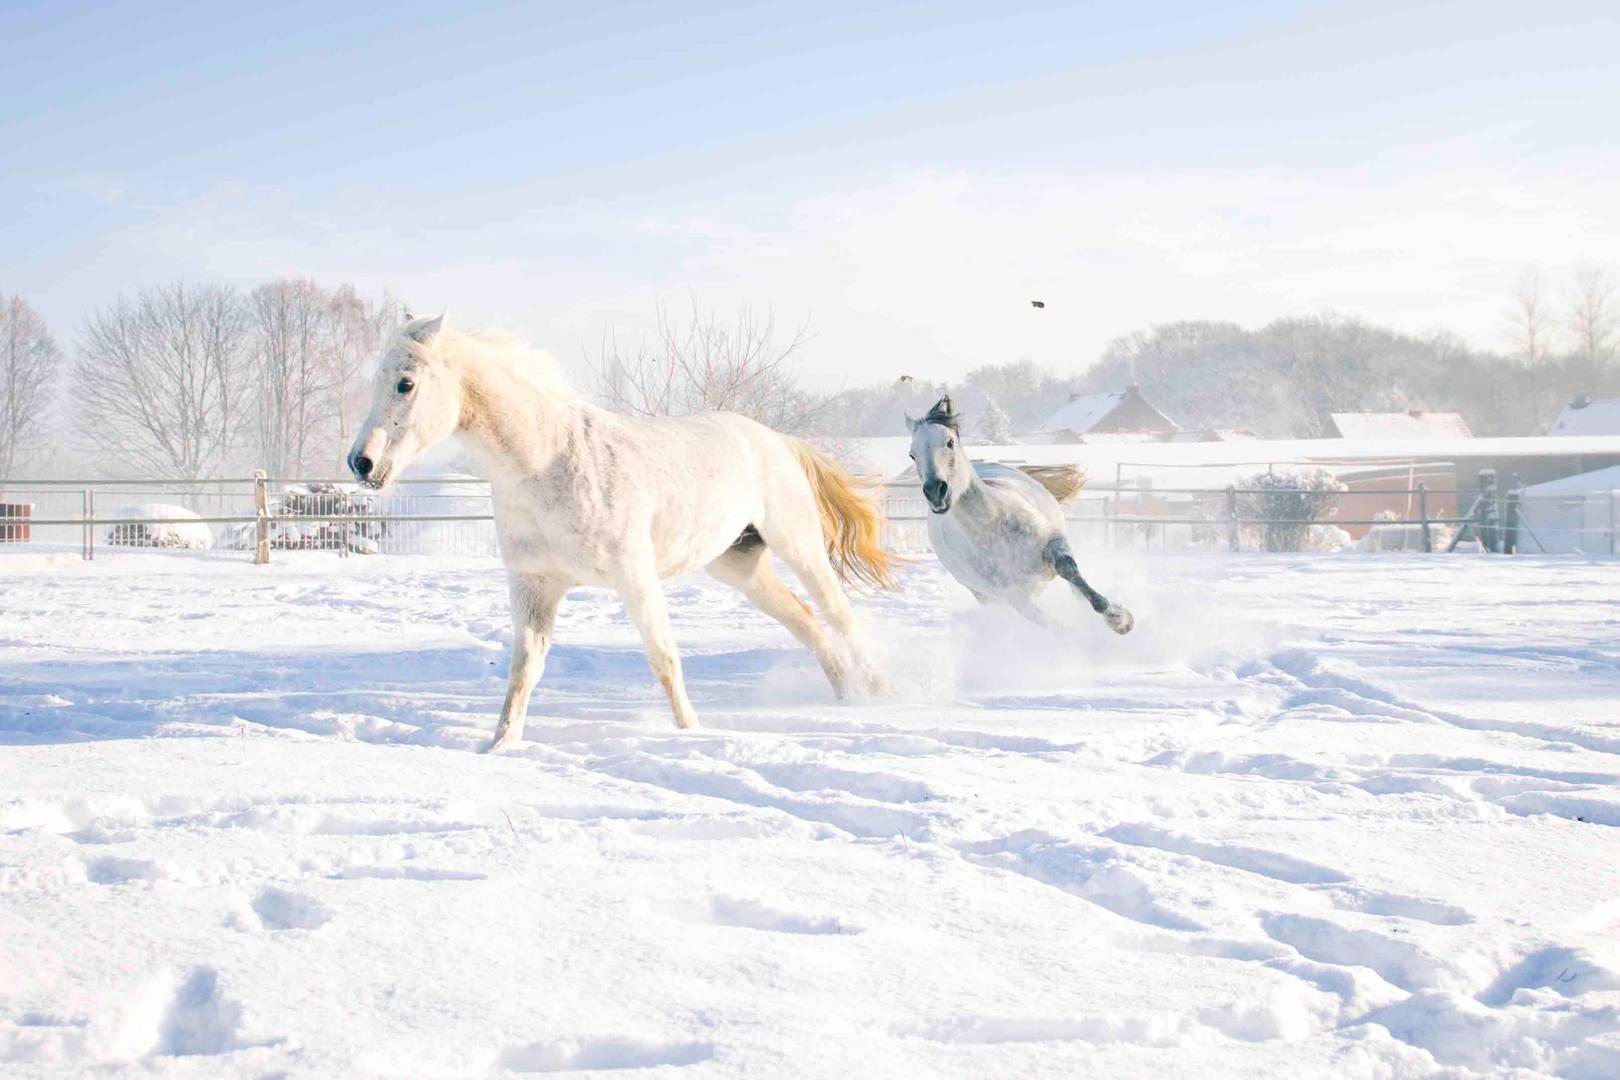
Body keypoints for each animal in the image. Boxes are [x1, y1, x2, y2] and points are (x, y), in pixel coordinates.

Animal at [346, 314, 894, 751]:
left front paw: (691, 732)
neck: (548, 464)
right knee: (805, 621)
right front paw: (500, 745)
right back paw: (844, 695)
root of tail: (773, 439)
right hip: (740, 565)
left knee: (837, 614)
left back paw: (877, 693)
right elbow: (525, 669)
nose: (361, 463)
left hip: (797, 545)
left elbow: (664, 658)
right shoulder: (533, 587)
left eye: (405, 384)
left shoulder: (635, 577)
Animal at [907, 395, 1134, 634]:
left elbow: (1070, 571)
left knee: (1076, 590)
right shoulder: (1013, 596)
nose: (935, 491)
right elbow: (1055, 628)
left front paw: (1120, 619)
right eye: (912, 455)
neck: (993, 527)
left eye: (949, 442)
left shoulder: (1056, 541)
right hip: (987, 596)